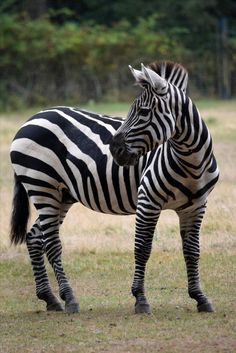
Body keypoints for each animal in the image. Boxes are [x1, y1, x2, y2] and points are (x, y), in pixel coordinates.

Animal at [9, 59, 219, 314]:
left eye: (144, 112)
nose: (115, 151)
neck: (191, 162)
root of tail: (32, 117)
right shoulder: (147, 200)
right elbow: (142, 248)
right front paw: (140, 299)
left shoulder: (196, 206)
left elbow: (192, 251)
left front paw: (200, 297)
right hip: (42, 186)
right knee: (51, 243)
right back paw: (69, 298)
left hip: (60, 195)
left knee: (34, 237)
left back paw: (49, 298)